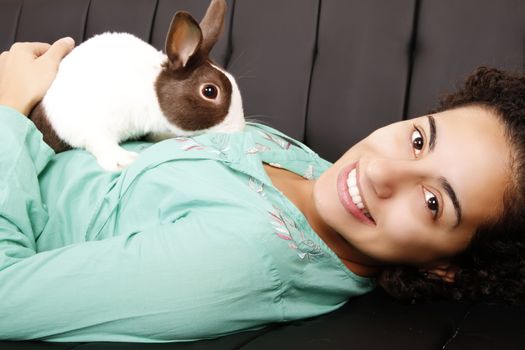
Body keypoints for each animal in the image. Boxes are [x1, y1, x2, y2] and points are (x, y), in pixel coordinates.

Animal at [31, 0, 246, 171]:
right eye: (210, 91)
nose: (240, 128)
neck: (148, 94)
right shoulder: (87, 120)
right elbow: (100, 140)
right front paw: (123, 161)